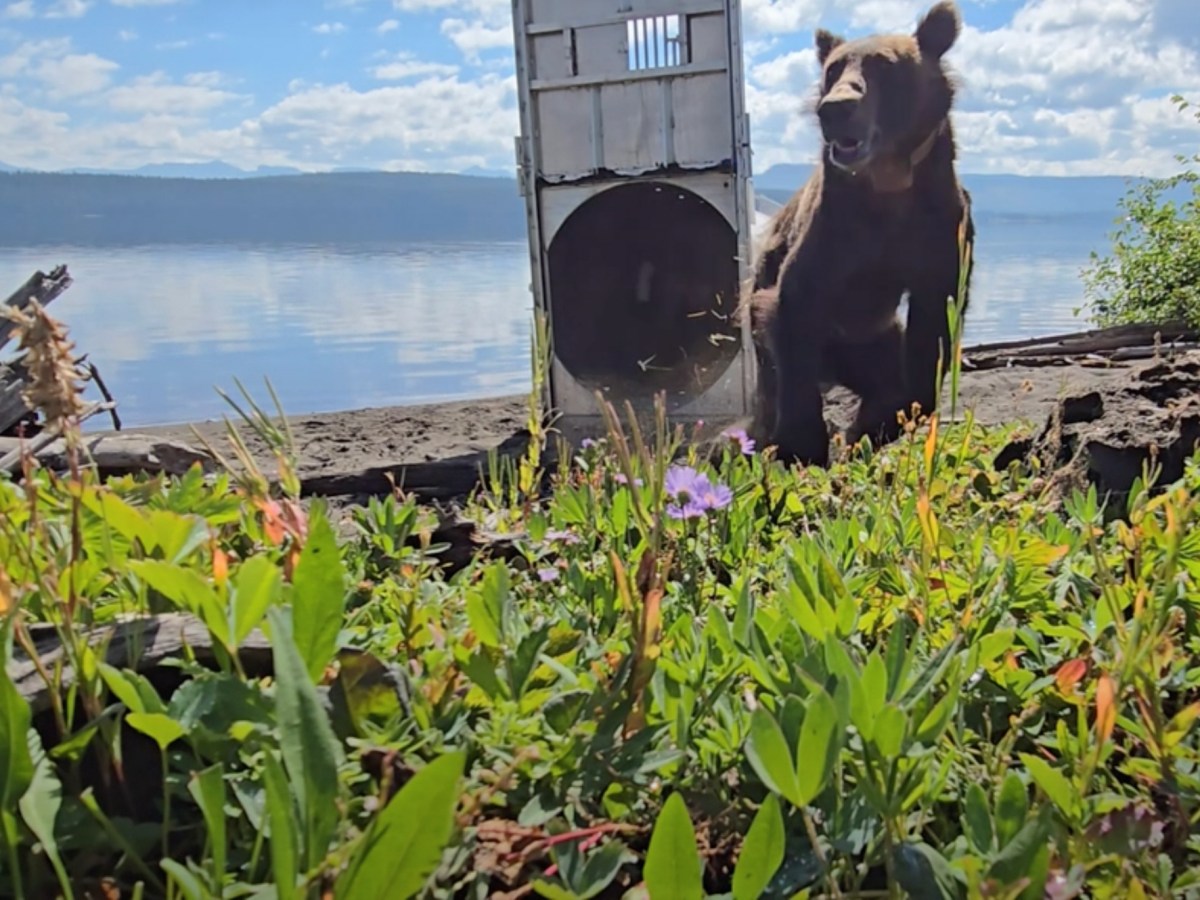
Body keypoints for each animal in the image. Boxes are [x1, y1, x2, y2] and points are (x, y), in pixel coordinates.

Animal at [741, 0, 977, 468]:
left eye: (884, 64)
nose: (835, 108)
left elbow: (930, 336)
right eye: (833, 69)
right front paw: (802, 444)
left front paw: (873, 425)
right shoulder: (834, 237)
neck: (887, 184)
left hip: (870, 341)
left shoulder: (938, 235)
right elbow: (795, 310)